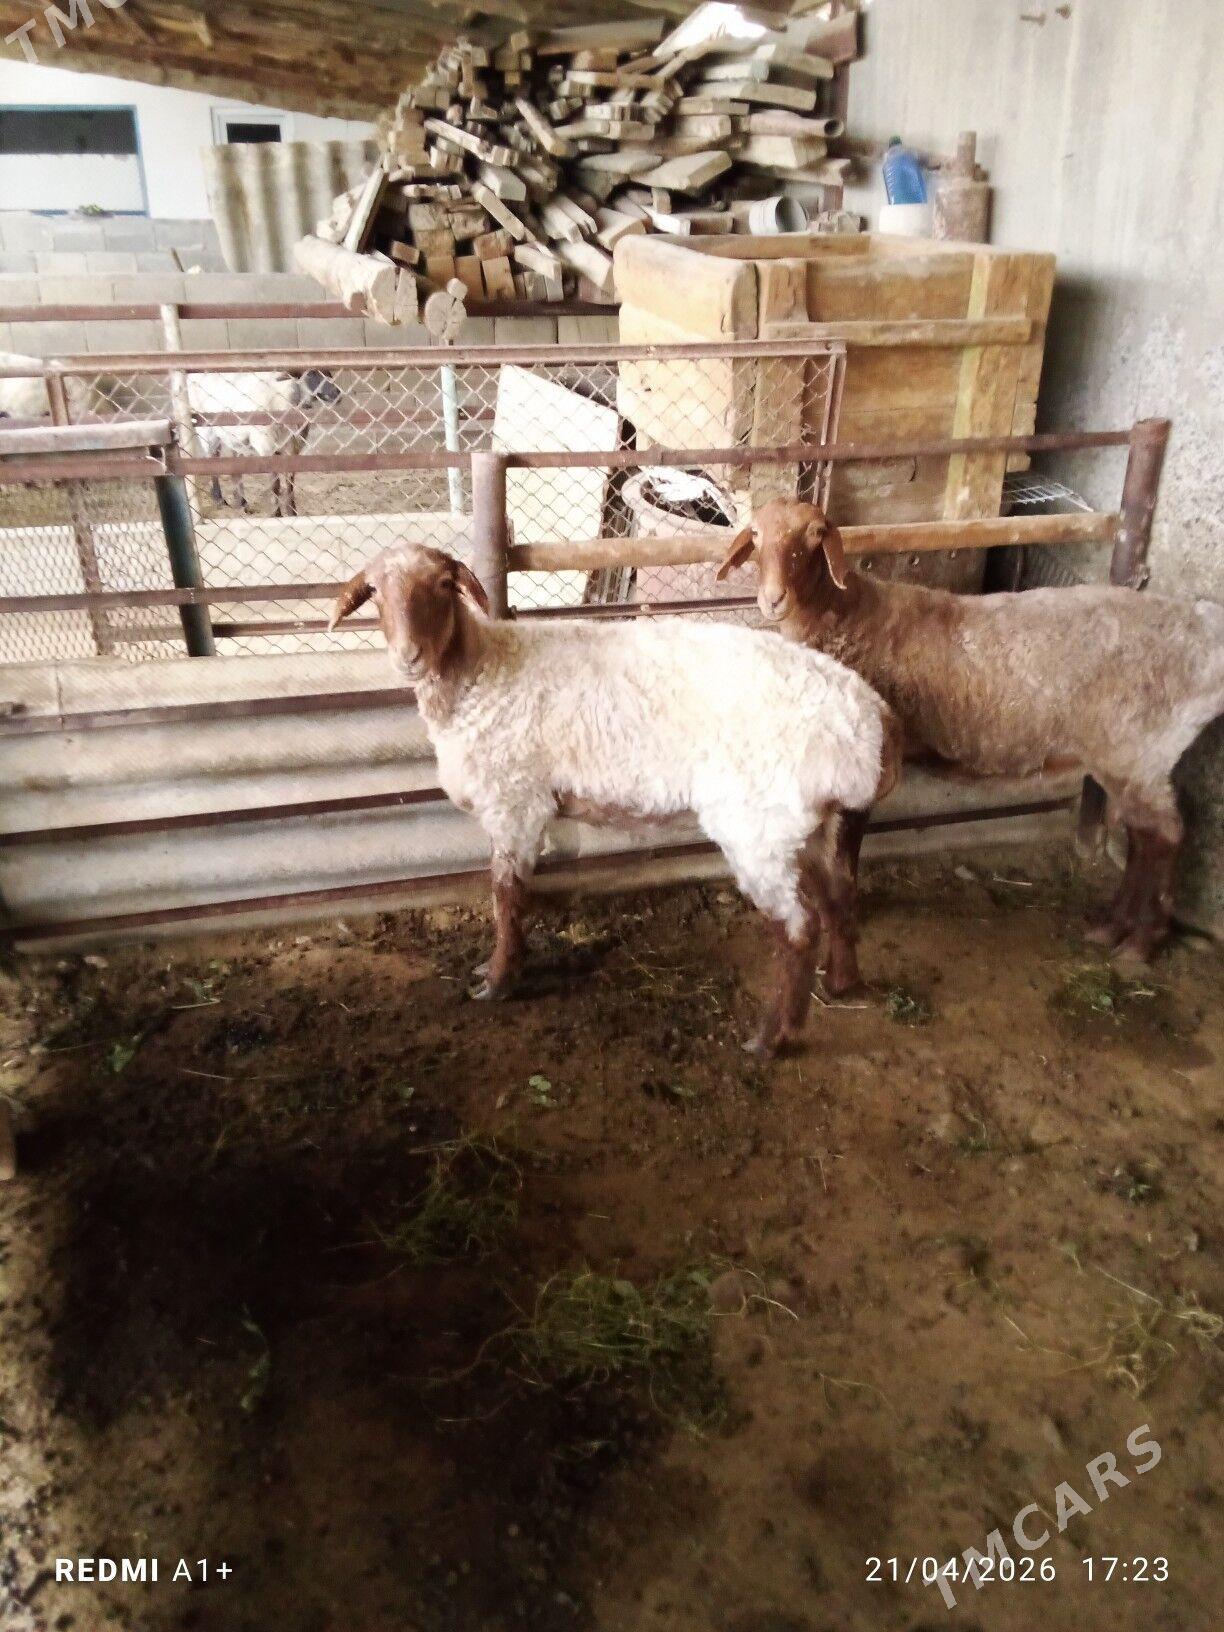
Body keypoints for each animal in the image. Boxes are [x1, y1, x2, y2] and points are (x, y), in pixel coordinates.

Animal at [186, 368, 340, 517]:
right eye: (311, 373)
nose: (337, 393)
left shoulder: (292, 448)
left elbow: (289, 483)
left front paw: (292, 513)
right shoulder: (266, 446)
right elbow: (275, 485)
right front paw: (276, 514)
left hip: (233, 435)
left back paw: (241, 502)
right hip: (207, 429)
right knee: (212, 457)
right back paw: (219, 499)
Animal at [330, 543, 901, 1055]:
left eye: (443, 586)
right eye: (375, 592)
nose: (409, 657)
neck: (478, 673)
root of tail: (871, 718)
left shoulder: (516, 802)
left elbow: (506, 895)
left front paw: (497, 981)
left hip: (758, 826)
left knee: (797, 927)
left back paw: (770, 1038)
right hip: (808, 823)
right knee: (839, 895)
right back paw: (840, 982)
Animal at [718, 499, 1224, 965]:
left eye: (815, 535)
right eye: (756, 534)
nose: (773, 599)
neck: (844, 616)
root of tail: (1206, 632)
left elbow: (844, 856)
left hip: (1139, 750)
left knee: (1167, 836)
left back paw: (1140, 943)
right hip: (1126, 758)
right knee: (1144, 836)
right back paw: (1111, 926)